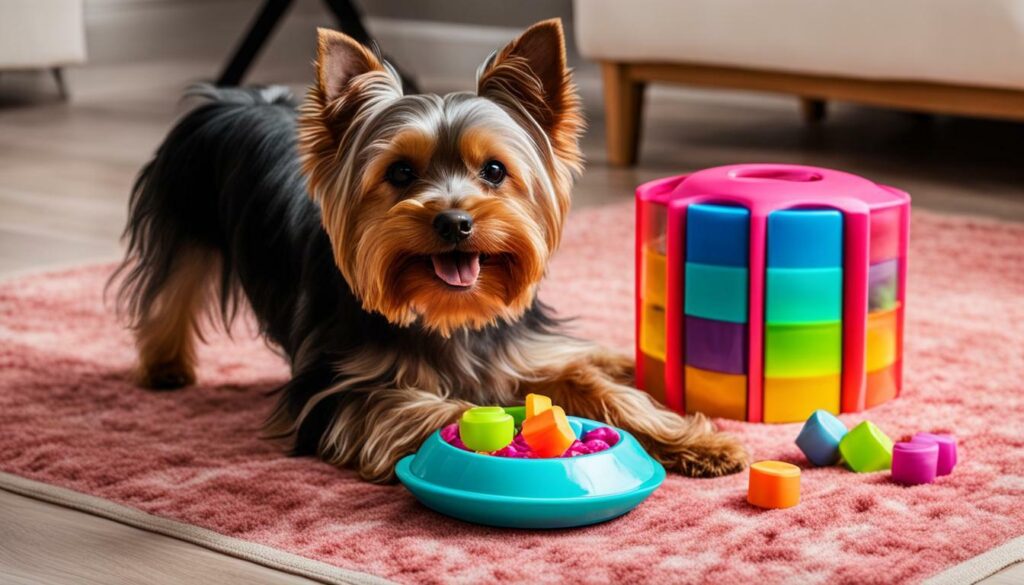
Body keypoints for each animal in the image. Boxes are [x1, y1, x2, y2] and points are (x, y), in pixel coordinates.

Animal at [116, 20, 749, 483]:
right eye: (399, 173)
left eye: (494, 170)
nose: (455, 221)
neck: (447, 314)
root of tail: (241, 94)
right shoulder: (335, 393)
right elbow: (426, 408)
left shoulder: (515, 353)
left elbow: (598, 387)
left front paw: (696, 440)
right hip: (182, 215)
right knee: (171, 286)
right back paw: (166, 366)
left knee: (584, 351)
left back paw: (619, 358)